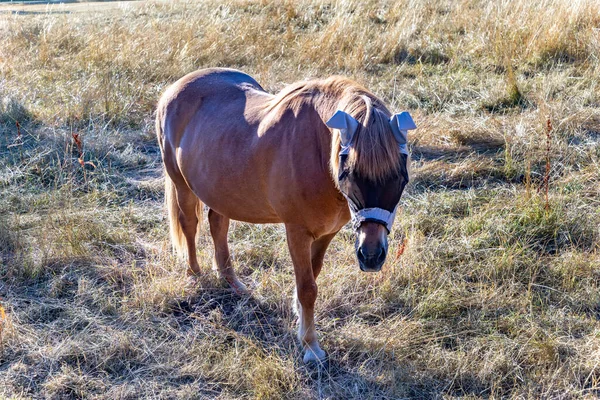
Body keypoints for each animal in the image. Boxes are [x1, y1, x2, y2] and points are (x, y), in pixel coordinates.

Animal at [157, 69, 414, 366]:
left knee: (218, 225)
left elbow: (313, 274)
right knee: (190, 226)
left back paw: (232, 282)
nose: (371, 257)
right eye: (347, 173)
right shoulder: (297, 232)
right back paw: (195, 276)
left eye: (402, 178)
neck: (317, 152)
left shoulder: (326, 233)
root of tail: (175, 87)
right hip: (182, 186)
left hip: (219, 189)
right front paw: (311, 346)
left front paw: (299, 315)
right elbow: (308, 287)